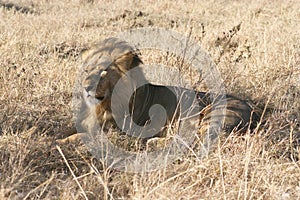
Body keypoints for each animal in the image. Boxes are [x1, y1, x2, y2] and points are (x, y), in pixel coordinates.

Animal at [57, 38, 258, 145]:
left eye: (104, 72)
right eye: (86, 71)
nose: (86, 87)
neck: (101, 105)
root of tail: (253, 110)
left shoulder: (119, 132)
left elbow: (82, 136)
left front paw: (59, 143)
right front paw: (59, 136)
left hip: (211, 117)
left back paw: (154, 142)